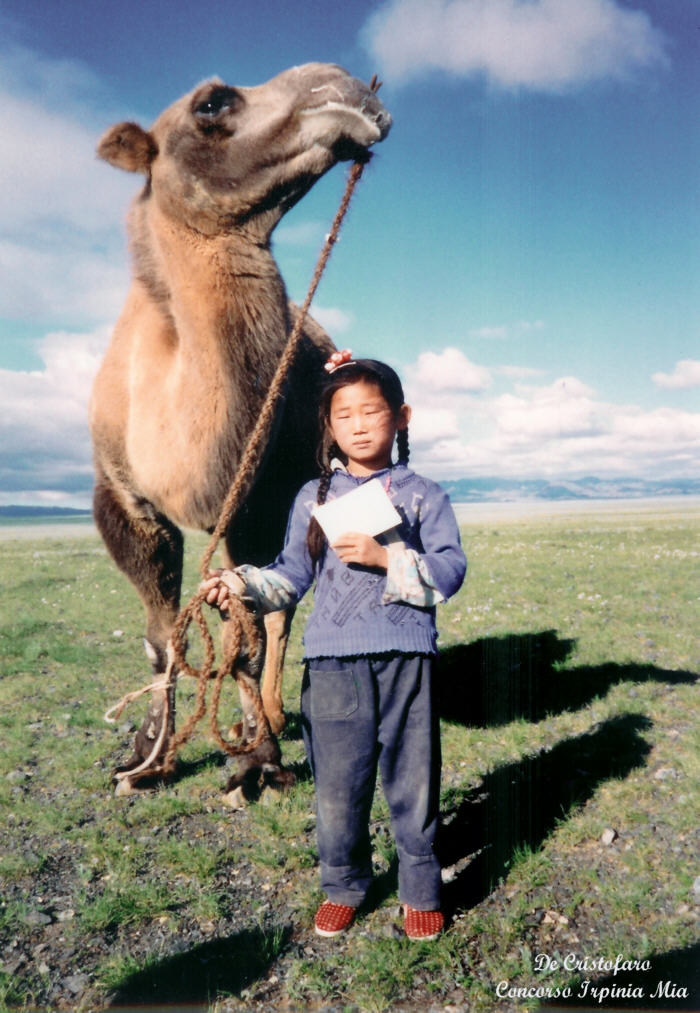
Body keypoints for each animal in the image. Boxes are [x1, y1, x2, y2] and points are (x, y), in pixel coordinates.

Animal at [90, 67, 391, 802]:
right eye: (212, 102)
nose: (349, 88)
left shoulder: (256, 498)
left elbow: (247, 636)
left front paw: (256, 763)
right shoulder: (121, 497)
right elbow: (163, 636)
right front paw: (146, 757)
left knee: (280, 612)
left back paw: (277, 718)